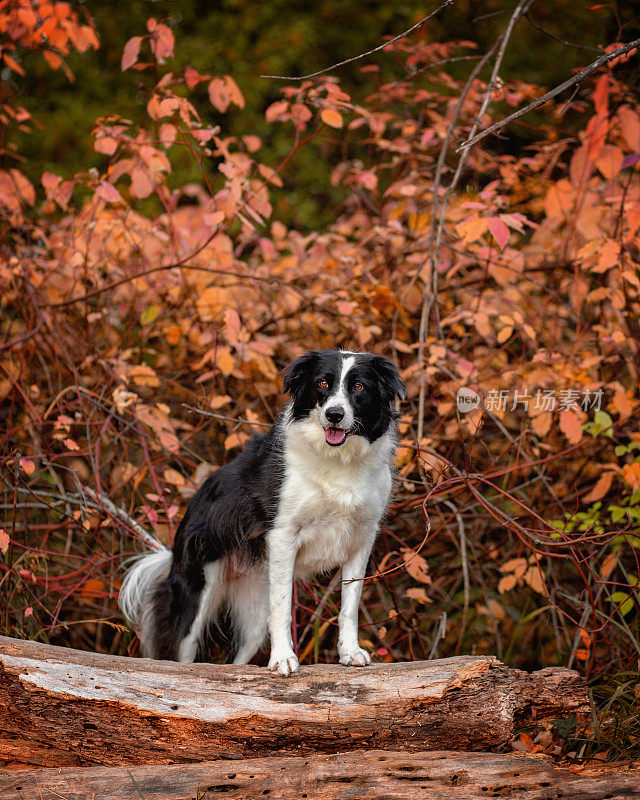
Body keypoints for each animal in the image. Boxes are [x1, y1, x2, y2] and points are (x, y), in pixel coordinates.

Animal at [120, 350, 404, 676]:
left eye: (359, 387)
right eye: (322, 383)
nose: (334, 414)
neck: (337, 460)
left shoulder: (362, 538)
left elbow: (350, 605)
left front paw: (350, 652)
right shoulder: (283, 534)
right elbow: (282, 607)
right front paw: (283, 658)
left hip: (253, 610)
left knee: (238, 658)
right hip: (197, 591)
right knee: (185, 653)